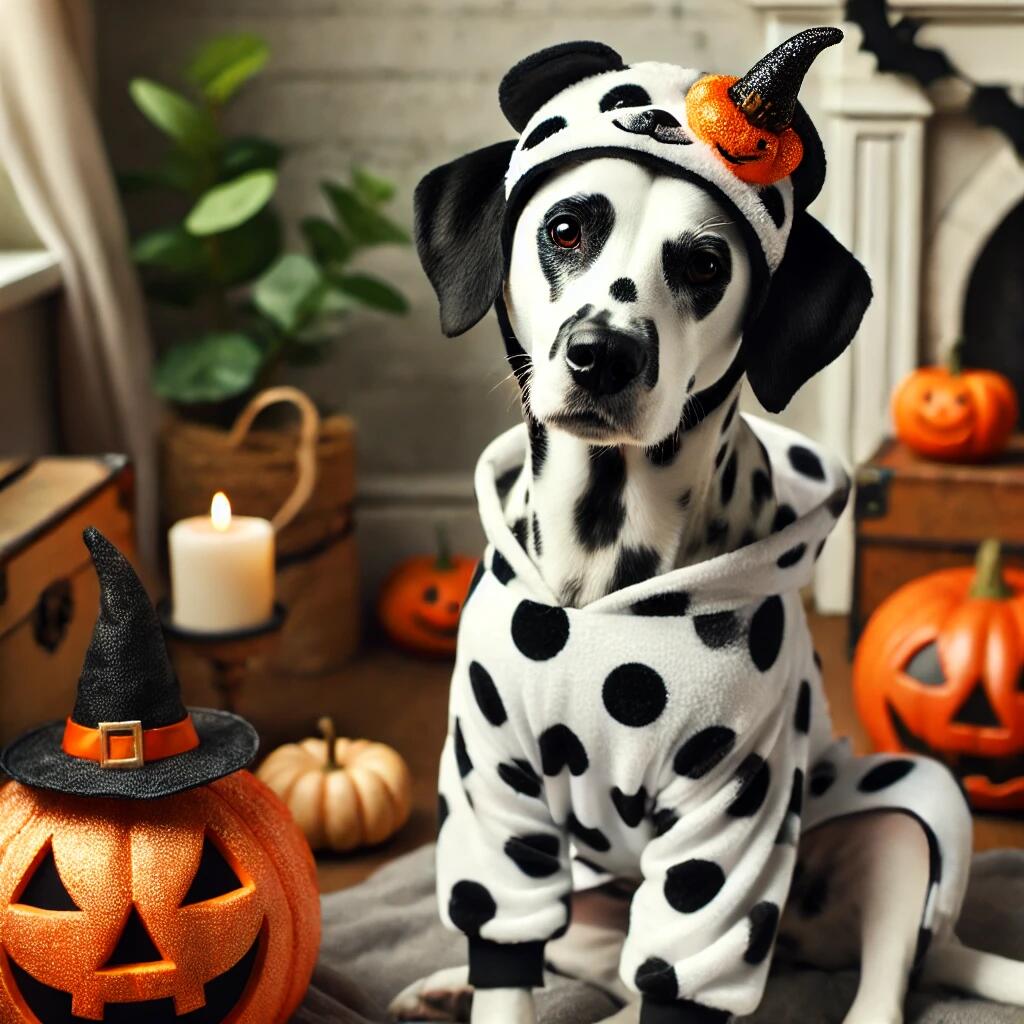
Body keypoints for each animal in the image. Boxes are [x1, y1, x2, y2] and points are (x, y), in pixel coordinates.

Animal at [385, 28, 1024, 1024]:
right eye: (564, 229)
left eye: (704, 265)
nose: (602, 354)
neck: (603, 576)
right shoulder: (496, 793)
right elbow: (506, 956)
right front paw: (475, 981)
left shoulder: (733, 817)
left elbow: (686, 968)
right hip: (591, 901)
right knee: (607, 975)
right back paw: (449, 986)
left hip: (908, 813)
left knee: (873, 975)